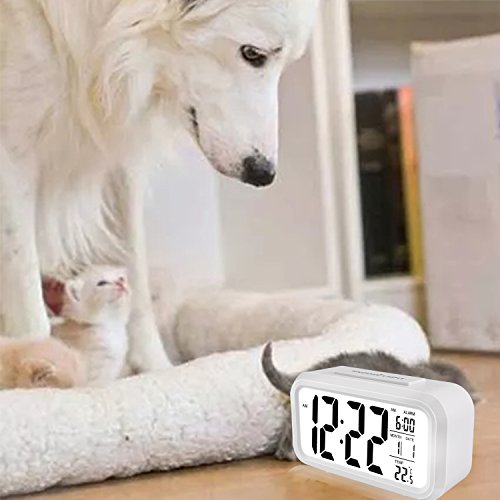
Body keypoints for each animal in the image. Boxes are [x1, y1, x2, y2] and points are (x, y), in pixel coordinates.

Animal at [0, 0, 319, 372]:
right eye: (253, 54)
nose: (264, 174)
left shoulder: (122, 155)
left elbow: (135, 274)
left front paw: (156, 369)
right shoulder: (11, 155)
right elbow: (28, 299)